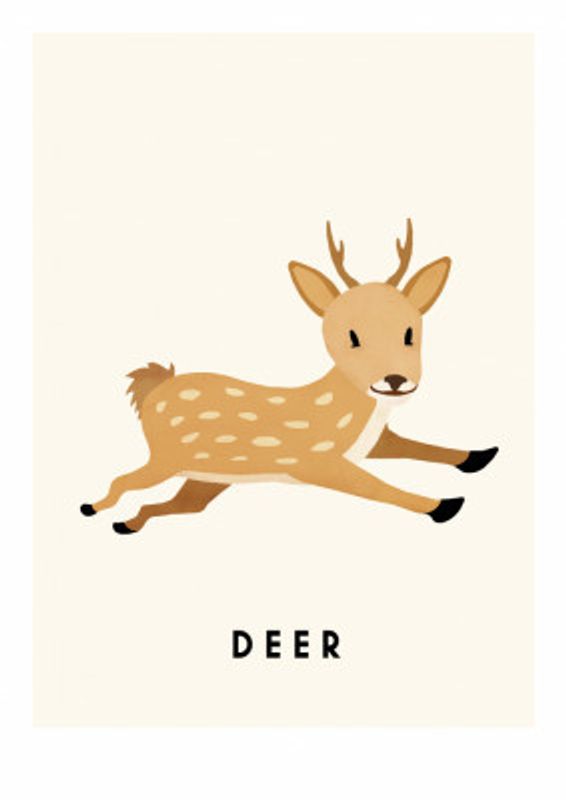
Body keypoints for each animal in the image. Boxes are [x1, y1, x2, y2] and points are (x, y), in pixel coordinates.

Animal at [80, 219, 498, 533]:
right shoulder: (314, 460)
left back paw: (126, 524)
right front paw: (445, 505)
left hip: (204, 478)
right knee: (123, 480)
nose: (394, 380)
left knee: (177, 506)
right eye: (351, 336)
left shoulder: (372, 443)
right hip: (166, 458)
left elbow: (415, 445)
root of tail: (156, 386)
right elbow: (375, 486)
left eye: (411, 332)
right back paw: (91, 508)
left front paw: (480, 456)